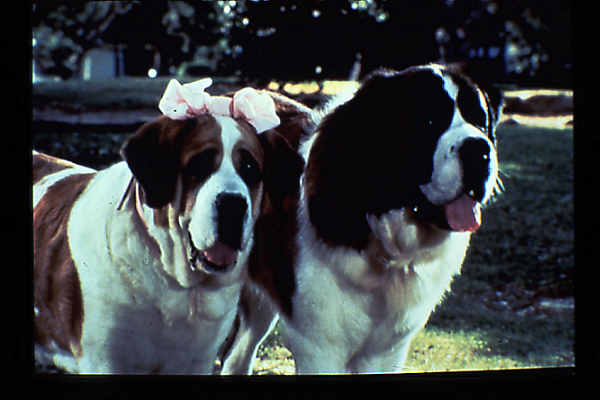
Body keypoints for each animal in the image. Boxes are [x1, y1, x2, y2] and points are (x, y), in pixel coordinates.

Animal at [34, 78, 310, 376]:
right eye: (198, 165)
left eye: (250, 168)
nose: (233, 205)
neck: (178, 285)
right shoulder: (104, 361)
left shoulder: (197, 361)